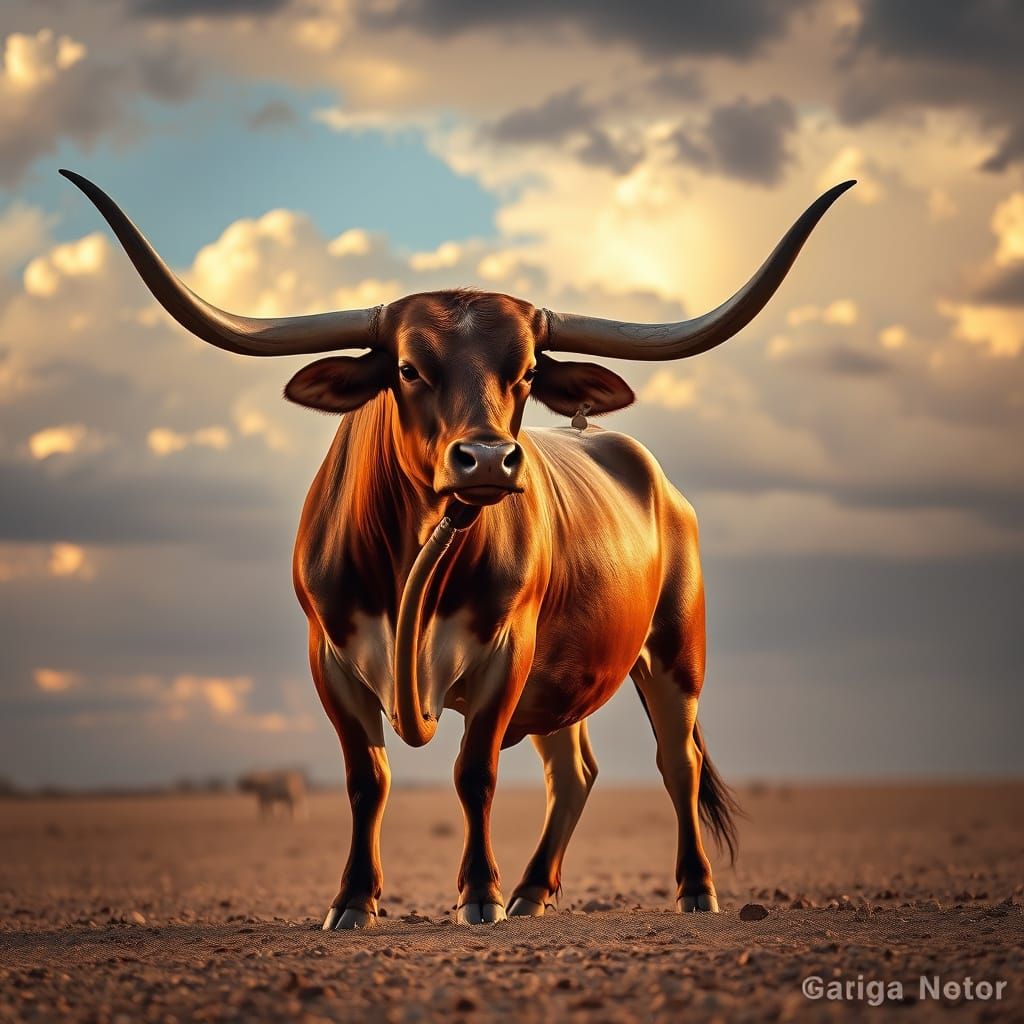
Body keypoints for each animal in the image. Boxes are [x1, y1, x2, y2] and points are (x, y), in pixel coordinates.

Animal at [62, 169, 853, 928]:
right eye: (409, 367)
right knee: (574, 772)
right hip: (565, 677)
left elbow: (475, 773)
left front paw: (479, 896)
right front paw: (355, 900)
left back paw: (692, 889)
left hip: (674, 652)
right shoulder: (330, 657)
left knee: (675, 762)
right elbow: (367, 780)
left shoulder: (508, 650)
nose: (488, 460)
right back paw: (535, 892)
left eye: (528, 370)